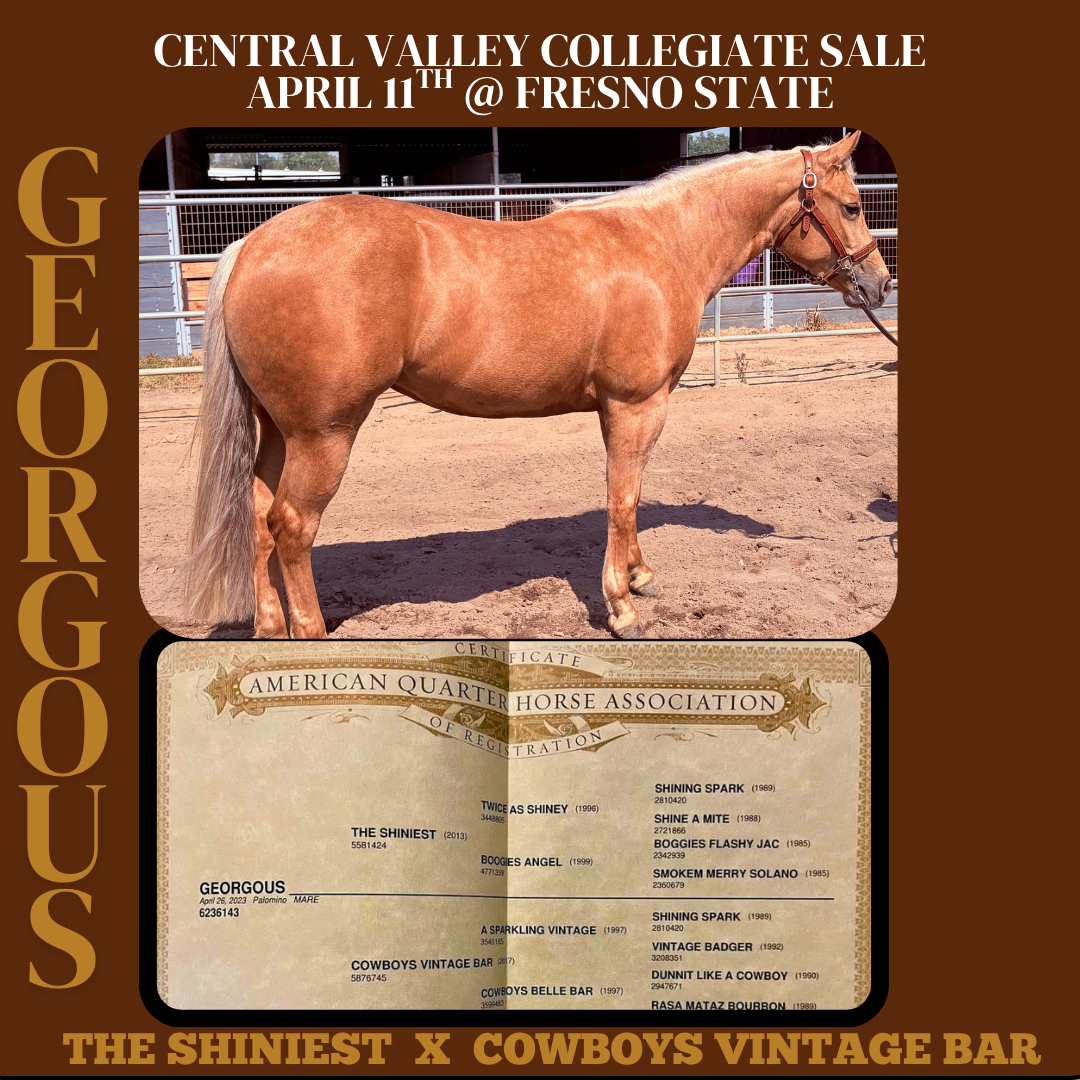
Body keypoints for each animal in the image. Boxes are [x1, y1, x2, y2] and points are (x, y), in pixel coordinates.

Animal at [181, 130, 892, 640]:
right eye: (853, 206)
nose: (880, 284)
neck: (660, 246)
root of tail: (250, 248)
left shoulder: (626, 409)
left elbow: (632, 493)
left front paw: (640, 577)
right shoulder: (636, 405)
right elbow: (622, 499)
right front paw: (622, 609)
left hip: (279, 431)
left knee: (259, 519)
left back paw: (268, 629)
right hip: (324, 433)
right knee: (293, 526)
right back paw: (309, 634)